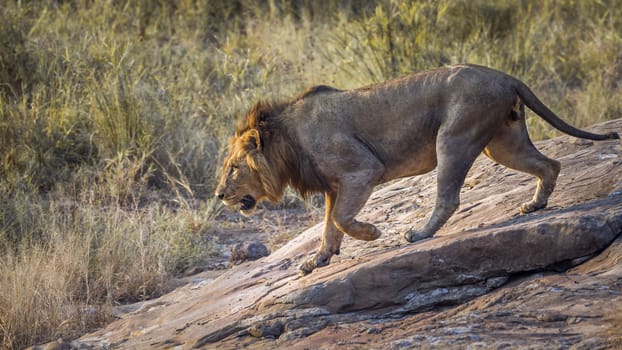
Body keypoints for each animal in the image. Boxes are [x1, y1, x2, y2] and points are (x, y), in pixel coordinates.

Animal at [214, 64, 620, 274]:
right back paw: (535, 205)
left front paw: (372, 233)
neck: (288, 139)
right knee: (550, 163)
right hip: (503, 143)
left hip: (454, 138)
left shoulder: (361, 169)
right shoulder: (333, 187)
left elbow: (342, 219)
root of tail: (504, 75)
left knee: (449, 198)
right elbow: (329, 227)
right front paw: (318, 260)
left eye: (232, 168)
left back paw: (419, 234)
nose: (218, 195)